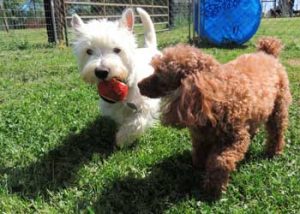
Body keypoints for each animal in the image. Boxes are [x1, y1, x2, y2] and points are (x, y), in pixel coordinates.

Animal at [71, 7, 161, 147]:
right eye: (89, 51)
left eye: (117, 49)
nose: (101, 72)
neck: (126, 84)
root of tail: (149, 48)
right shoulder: (115, 109)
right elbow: (124, 120)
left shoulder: (147, 104)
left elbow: (137, 122)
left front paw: (122, 139)